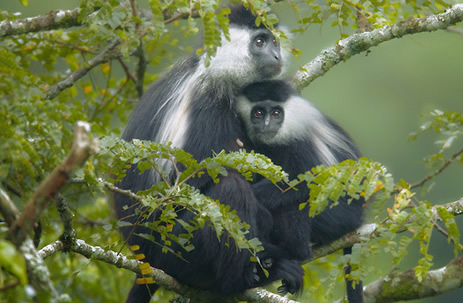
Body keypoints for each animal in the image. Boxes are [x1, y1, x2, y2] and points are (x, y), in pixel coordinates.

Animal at [114, 5, 306, 303]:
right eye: (259, 42)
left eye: (274, 41)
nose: (276, 55)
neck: (217, 70)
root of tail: (143, 256)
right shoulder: (207, 102)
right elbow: (193, 181)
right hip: (174, 247)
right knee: (229, 190)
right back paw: (244, 278)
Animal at [239, 79, 366, 302]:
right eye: (258, 113)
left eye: (276, 114)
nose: (266, 125)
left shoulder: (301, 143)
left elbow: (309, 182)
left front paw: (254, 196)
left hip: (340, 216)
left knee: (294, 205)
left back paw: (291, 254)